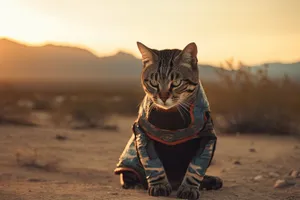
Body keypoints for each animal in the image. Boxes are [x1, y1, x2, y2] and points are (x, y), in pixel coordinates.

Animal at [115, 41, 223, 198]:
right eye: (153, 83)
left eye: (176, 83)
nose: (163, 96)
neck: (171, 116)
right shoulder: (143, 134)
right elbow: (153, 164)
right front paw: (159, 186)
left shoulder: (207, 135)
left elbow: (196, 167)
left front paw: (189, 188)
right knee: (128, 176)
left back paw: (210, 181)